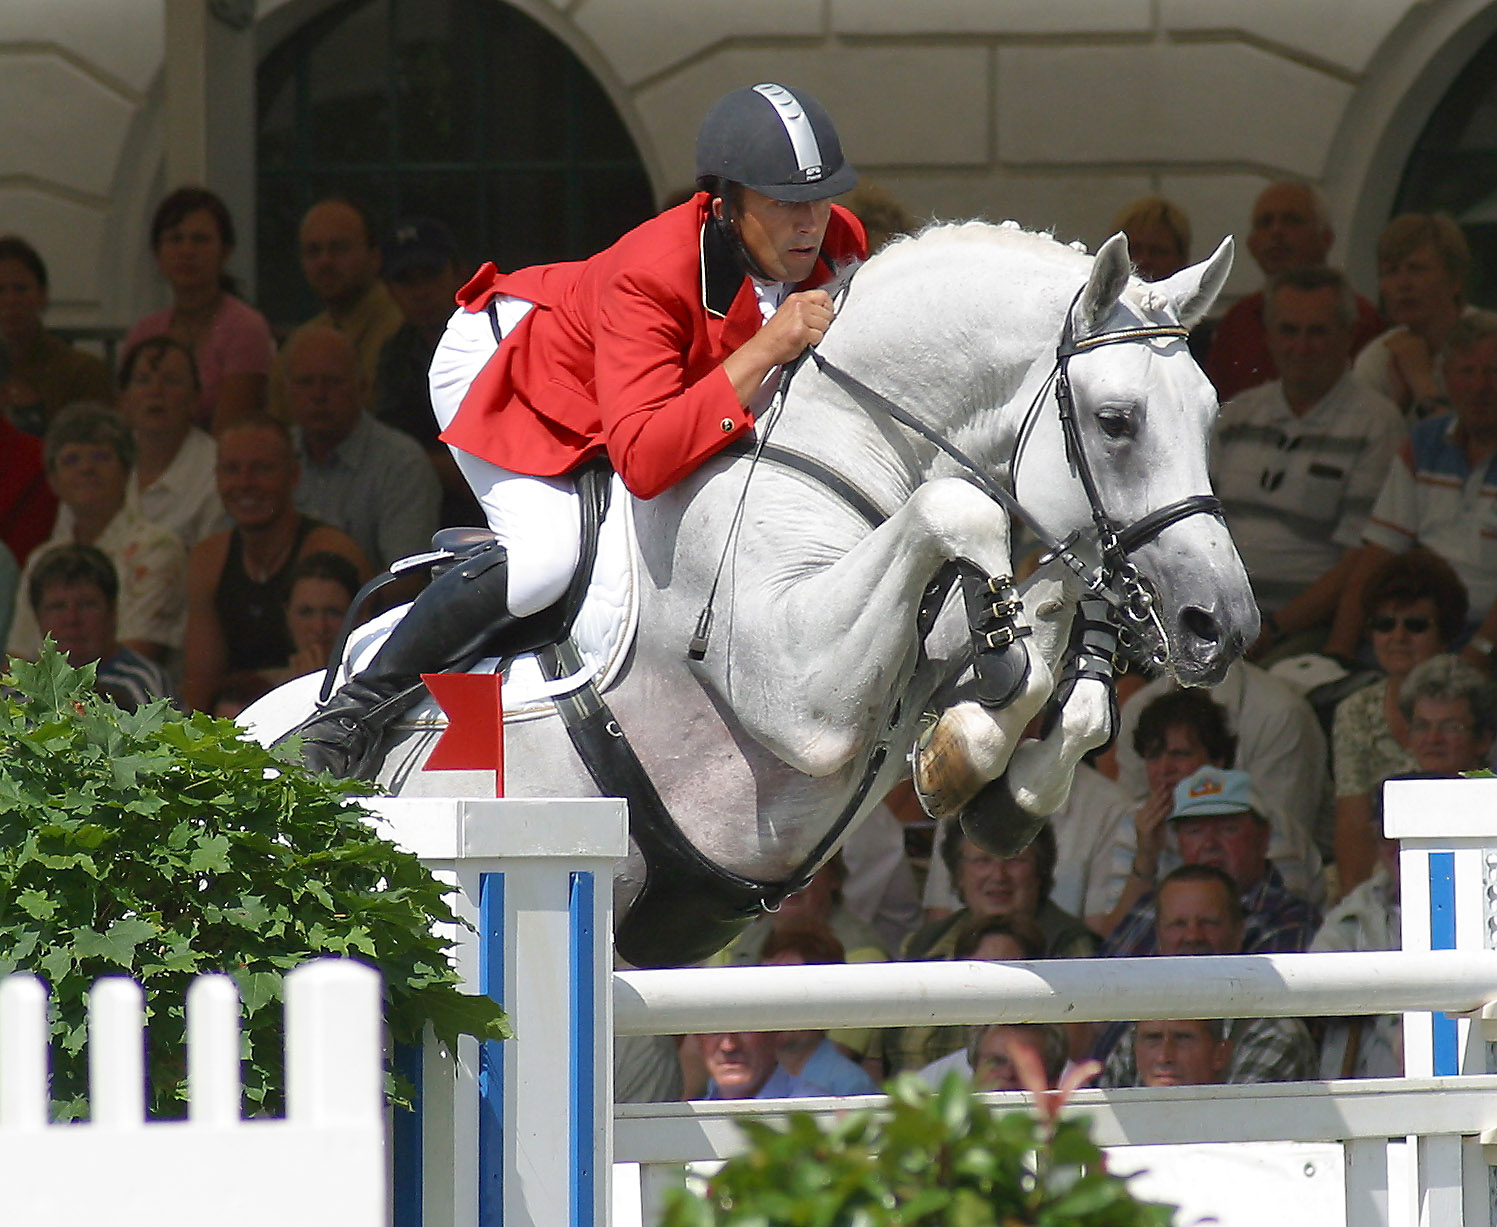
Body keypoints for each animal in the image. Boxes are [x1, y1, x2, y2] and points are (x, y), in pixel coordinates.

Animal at [245, 222, 1251, 969]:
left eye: (1209, 414)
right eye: (1116, 423)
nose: (1222, 627)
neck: (845, 448)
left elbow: (1045, 654)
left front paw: (991, 779)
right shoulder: (799, 691)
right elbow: (960, 514)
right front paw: (973, 748)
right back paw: (328, 743)